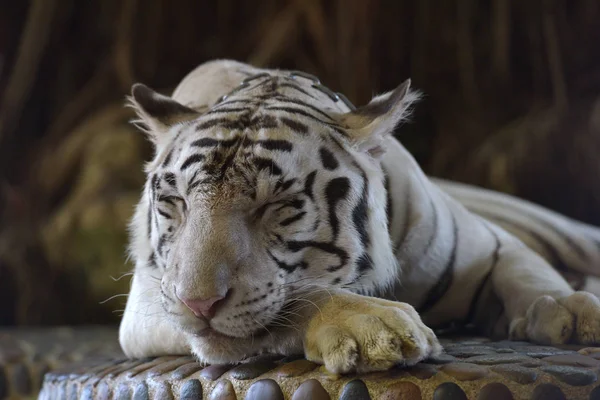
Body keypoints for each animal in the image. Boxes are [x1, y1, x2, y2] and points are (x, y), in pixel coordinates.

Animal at [119, 60, 600, 376]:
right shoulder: (150, 298)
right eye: (176, 202)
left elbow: (529, 273)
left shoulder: (492, 243)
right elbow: (299, 301)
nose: (197, 304)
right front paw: (370, 325)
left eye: (275, 204)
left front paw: (569, 308)